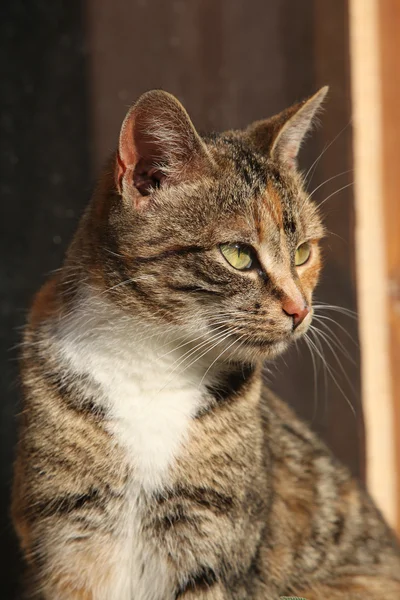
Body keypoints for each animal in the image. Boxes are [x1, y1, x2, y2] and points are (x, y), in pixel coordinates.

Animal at [11, 85, 400, 600]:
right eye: (237, 255)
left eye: (302, 253)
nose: (300, 310)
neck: (150, 365)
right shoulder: (65, 532)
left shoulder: (210, 539)